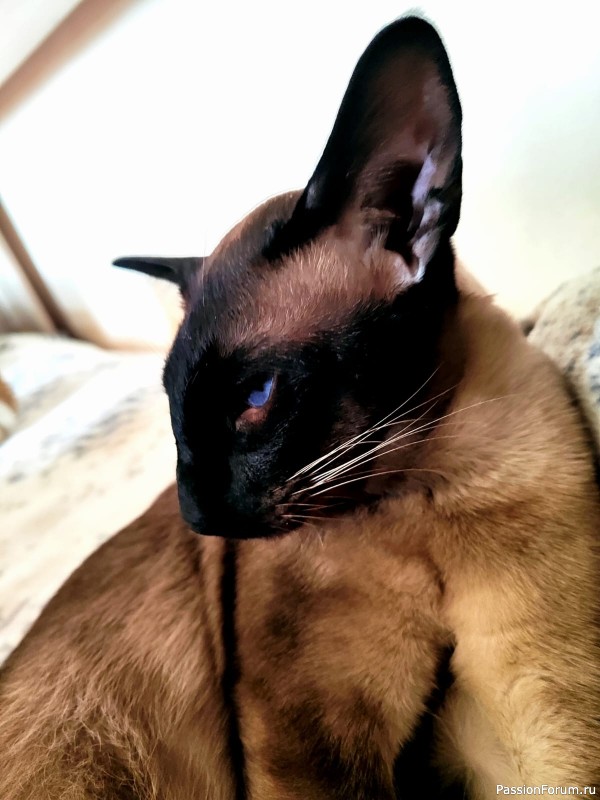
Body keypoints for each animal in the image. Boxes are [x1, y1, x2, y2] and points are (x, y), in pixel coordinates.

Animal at [1, 16, 599, 800]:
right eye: (173, 406)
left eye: (254, 397)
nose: (196, 515)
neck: (425, 487)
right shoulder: (312, 737)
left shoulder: (532, 708)